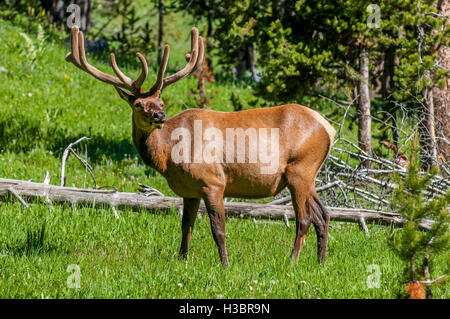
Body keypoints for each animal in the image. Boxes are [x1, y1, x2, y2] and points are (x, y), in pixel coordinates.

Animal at [66, 25, 334, 268]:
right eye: (139, 105)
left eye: (161, 102)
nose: (160, 116)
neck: (169, 155)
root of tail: (328, 128)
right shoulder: (189, 190)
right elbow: (186, 225)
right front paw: (182, 259)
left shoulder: (213, 182)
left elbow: (218, 228)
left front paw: (225, 265)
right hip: (308, 175)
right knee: (323, 214)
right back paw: (320, 263)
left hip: (299, 169)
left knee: (304, 218)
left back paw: (291, 262)